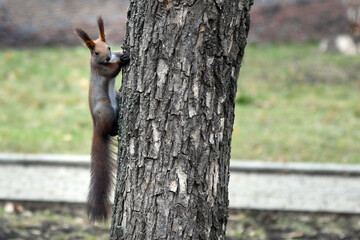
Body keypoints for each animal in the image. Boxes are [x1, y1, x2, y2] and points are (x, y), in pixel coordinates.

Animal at [74, 16, 129, 223]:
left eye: (109, 47)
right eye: (96, 52)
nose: (107, 57)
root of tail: (96, 126)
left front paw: (122, 53)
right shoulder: (100, 70)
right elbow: (111, 72)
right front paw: (122, 61)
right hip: (105, 109)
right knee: (108, 130)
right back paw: (115, 129)